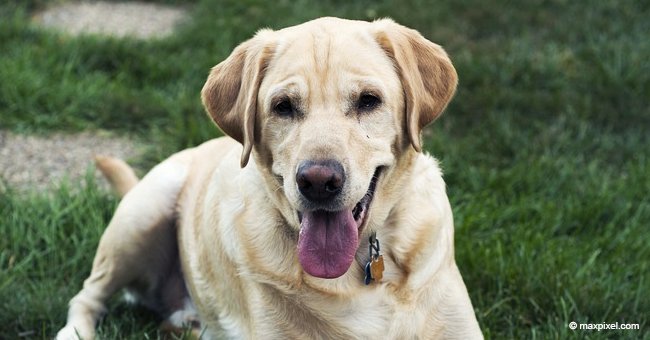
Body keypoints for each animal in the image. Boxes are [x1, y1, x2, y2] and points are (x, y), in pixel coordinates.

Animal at [57, 16, 480, 340]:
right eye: (283, 106)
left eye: (368, 101)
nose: (318, 181)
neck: (361, 265)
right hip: (142, 214)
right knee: (87, 295)